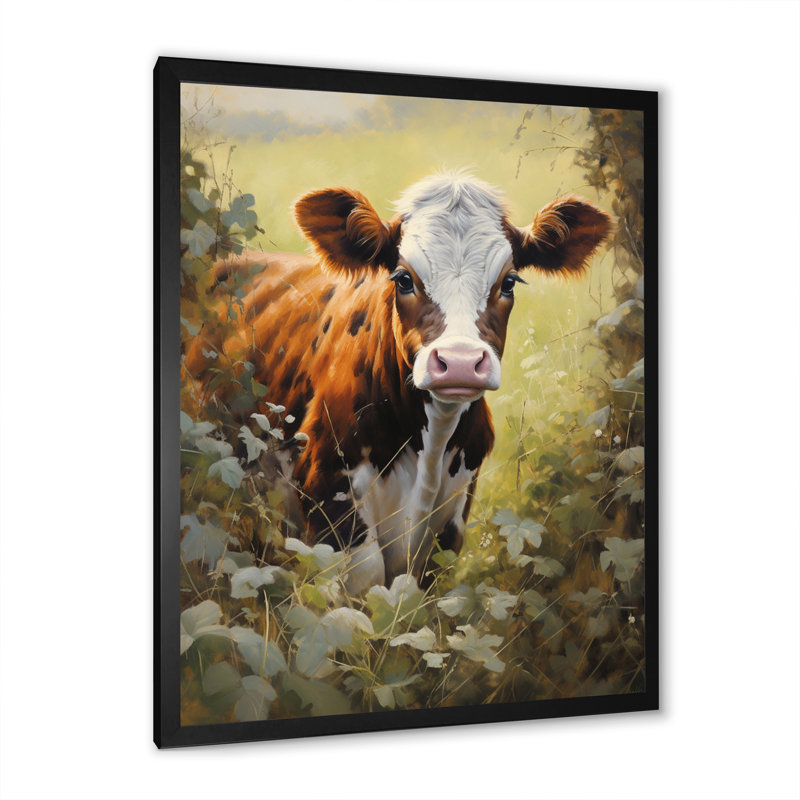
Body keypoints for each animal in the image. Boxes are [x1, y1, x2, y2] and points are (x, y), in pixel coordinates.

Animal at [185, 173, 611, 593]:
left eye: (509, 283)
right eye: (404, 279)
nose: (459, 363)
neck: (430, 447)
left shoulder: (449, 522)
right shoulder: (330, 498)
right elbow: (365, 584)